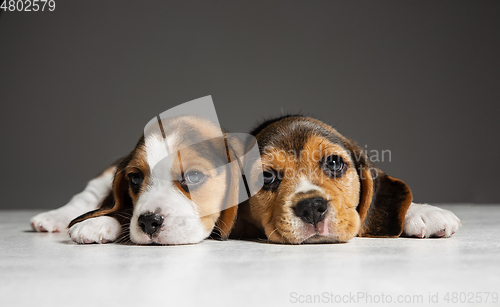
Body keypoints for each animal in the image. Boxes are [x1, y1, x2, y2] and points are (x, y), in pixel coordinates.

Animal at [30, 115, 247, 245]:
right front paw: (98, 221)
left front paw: (97, 223)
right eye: (135, 178)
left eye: (194, 176)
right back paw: (51, 218)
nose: (149, 221)